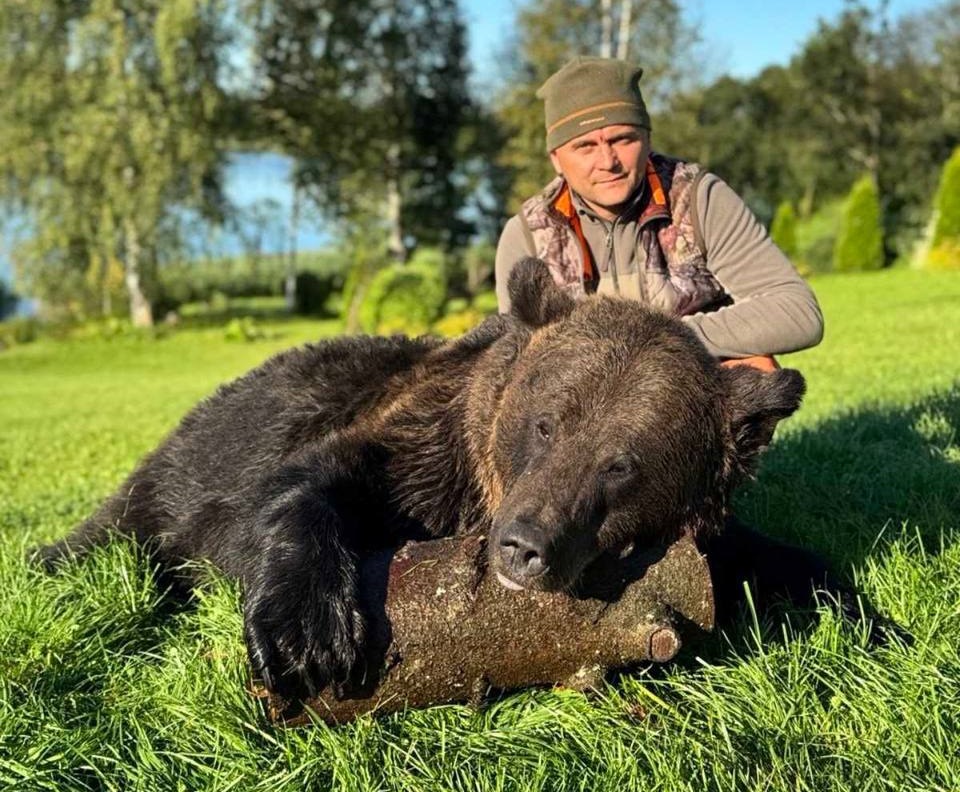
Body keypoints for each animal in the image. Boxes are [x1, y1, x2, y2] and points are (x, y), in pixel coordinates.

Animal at [34, 257, 816, 700]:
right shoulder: (417, 442)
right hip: (187, 464)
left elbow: (771, 555)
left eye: (622, 462)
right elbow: (314, 481)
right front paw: (307, 634)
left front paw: (839, 601)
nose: (525, 547)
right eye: (547, 423)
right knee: (113, 531)